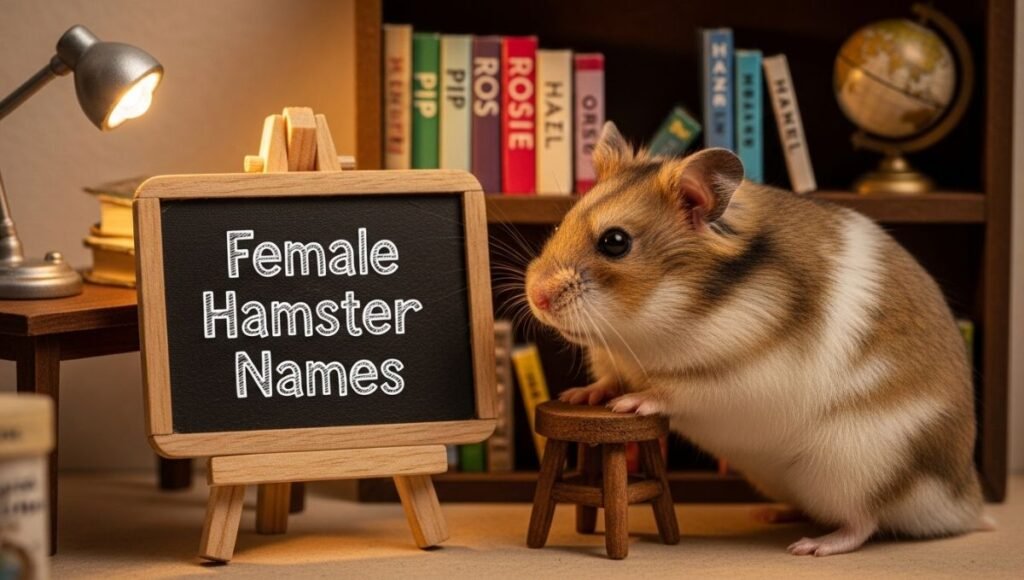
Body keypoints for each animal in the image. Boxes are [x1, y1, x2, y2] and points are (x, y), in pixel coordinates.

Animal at [524, 121, 989, 556]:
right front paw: (578, 396)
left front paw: (631, 403)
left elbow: (678, 390)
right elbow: (606, 380)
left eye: (615, 242)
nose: (536, 296)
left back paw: (812, 546)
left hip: (854, 466)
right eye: (563, 222)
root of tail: (965, 503)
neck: (647, 327)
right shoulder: (611, 360)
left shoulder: (747, 381)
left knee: (864, 521)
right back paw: (770, 513)